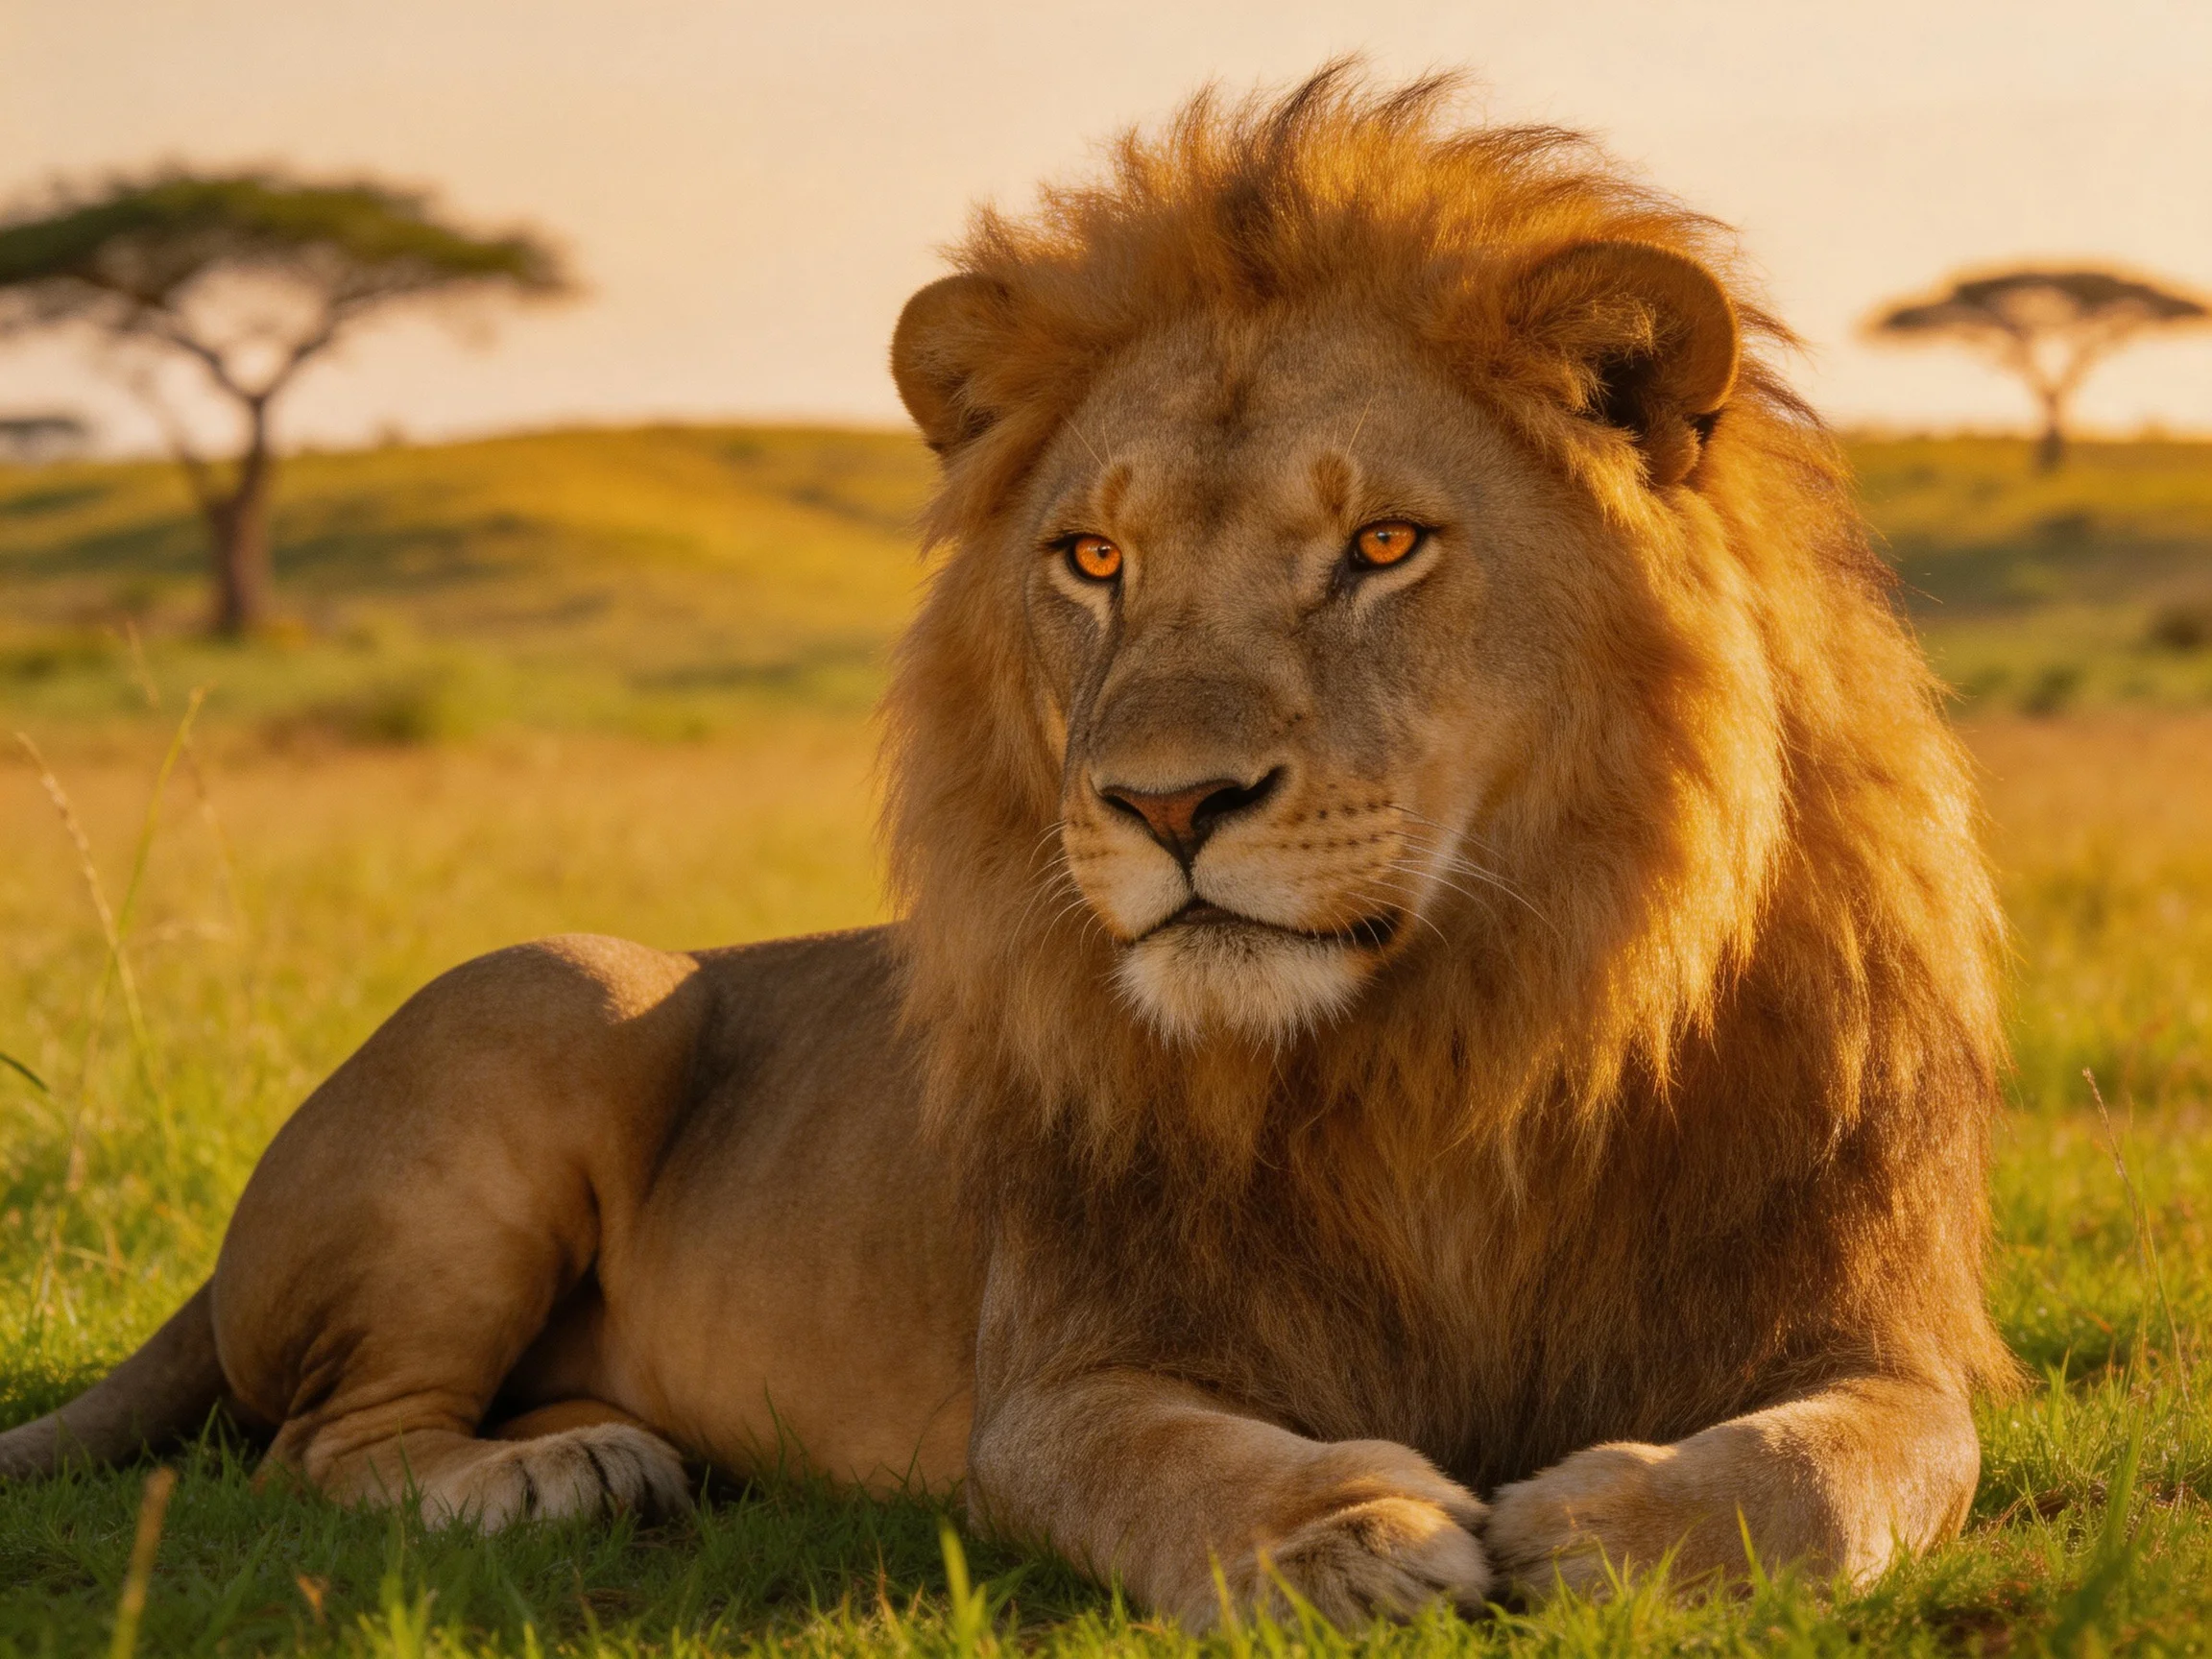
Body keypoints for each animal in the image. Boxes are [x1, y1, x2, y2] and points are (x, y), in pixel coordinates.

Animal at [0, 68, 2014, 1624]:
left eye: (1379, 546)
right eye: (1092, 558)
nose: (1166, 805)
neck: (1458, 1041)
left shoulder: (1870, 1323)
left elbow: (1847, 1465)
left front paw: (1607, 1527)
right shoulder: (1055, 1378)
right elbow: (1163, 1462)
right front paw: (1341, 1531)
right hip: (555, 988)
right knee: (311, 1437)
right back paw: (555, 1471)